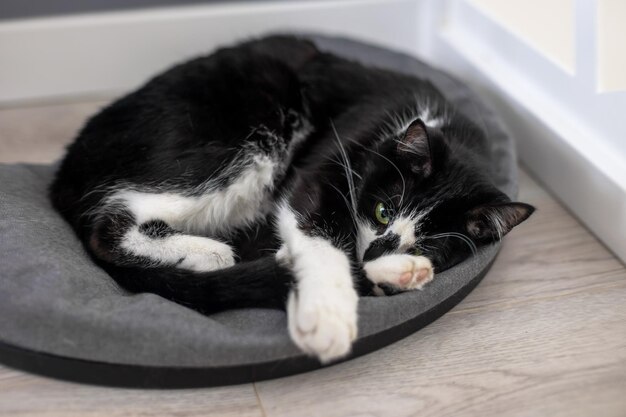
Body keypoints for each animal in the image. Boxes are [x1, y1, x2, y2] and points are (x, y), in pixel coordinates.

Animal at [51, 35, 532, 360]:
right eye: (383, 210)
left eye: (429, 243)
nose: (378, 250)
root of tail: (64, 172)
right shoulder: (325, 165)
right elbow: (318, 230)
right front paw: (327, 318)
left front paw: (393, 269)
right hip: (236, 136)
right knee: (110, 225)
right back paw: (208, 253)